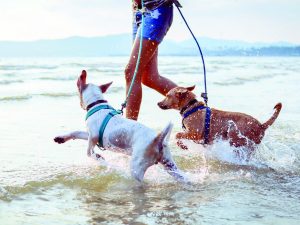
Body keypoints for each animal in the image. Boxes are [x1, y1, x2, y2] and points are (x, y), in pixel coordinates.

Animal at [52, 70, 186, 183]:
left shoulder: (93, 136)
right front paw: (61, 138)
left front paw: (99, 157)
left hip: (137, 168)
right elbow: (76, 133)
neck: (97, 104)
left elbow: (89, 152)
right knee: (183, 177)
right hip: (170, 165)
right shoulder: (89, 134)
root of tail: (158, 139)